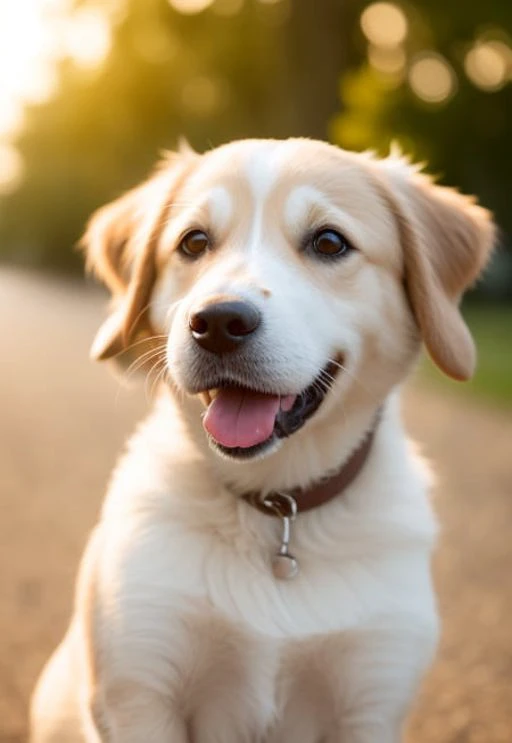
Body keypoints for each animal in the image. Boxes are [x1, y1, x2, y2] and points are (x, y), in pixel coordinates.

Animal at [30, 140, 494, 743]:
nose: (218, 322)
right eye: (193, 242)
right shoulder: (138, 690)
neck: (279, 507)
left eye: (329, 242)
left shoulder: (371, 699)